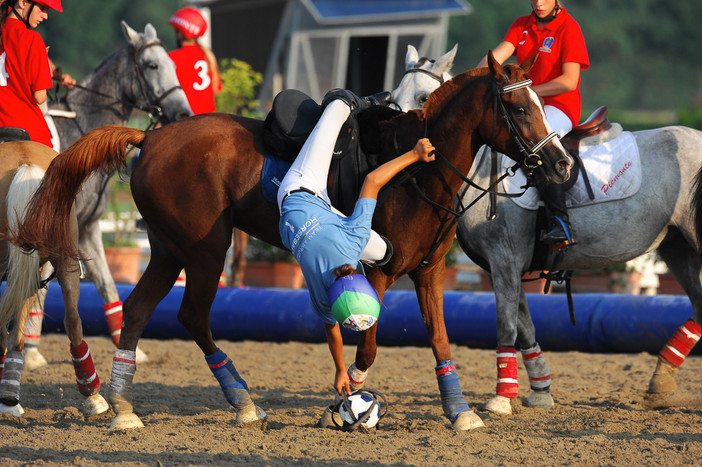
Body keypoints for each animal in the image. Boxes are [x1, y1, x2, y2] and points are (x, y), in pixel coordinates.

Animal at [13, 52, 576, 432]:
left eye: (539, 102)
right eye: (518, 107)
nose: (561, 165)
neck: (419, 171)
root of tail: (149, 138)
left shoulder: (430, 271)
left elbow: (439, 339)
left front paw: (460, 412)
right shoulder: (379, 271)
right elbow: (367, 344)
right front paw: (347, 397)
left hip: (171, 249)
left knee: (135, 310)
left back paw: (123, 407)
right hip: (206, 248)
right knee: (192, 315)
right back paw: (240, 402)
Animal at [394, 45, 702, 414]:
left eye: (424, 98)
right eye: (394, 97)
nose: (400, 151)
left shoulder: (505, 261)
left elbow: (506, 325)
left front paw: (501, 399)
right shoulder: (502, 266)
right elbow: (524, 325)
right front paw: (540, 390)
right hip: (677, 247)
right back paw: (660, 382)